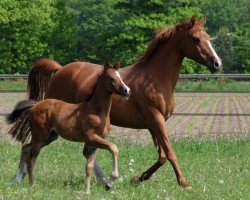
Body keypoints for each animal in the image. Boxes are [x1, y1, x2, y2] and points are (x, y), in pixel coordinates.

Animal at [6, 61, 130, 194]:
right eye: (111, 78)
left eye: (120, 77)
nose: (126, 91)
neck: (96, 110)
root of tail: (35, 105)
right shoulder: (91, 137)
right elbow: (113, 148)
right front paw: (111, 181)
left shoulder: (95, 141)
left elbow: (89, 166)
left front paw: (88, 191)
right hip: (40, 137)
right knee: (31, 159)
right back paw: (32, 185)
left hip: (49, 137)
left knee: (26, 148)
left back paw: (18, 179)